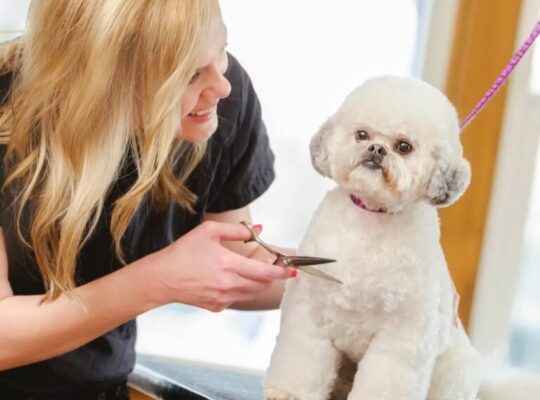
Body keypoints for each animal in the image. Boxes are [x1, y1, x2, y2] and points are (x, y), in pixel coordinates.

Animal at [264, 76, 540, 400]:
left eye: (404, 146)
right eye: (362, 134)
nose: (376, 149)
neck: (372, 218)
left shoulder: (401, 337)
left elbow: (386, 379)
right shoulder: (308, 313)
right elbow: (302, 361)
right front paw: (288, 393)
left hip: (454, 369)